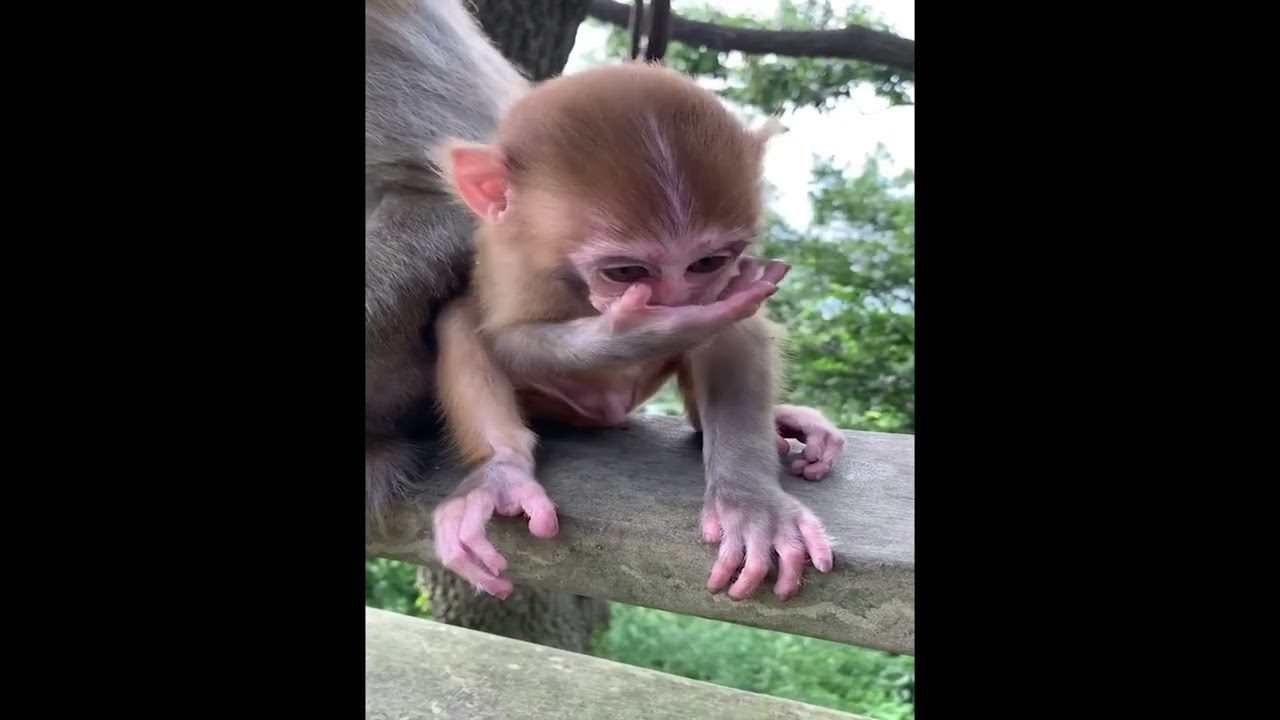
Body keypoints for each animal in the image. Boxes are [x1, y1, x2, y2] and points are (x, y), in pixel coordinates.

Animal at [429, 61, 846, 602]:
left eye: (707, 262)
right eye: (626, 272)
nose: (677, 302)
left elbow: (737, 336)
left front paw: (753, 505)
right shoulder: (509, 259)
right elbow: (505, 339)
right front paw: (639, 331)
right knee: (458, 319)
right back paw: (501, 472)